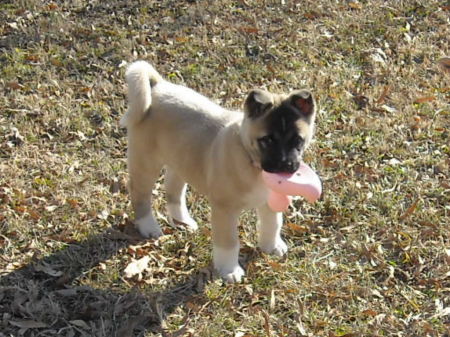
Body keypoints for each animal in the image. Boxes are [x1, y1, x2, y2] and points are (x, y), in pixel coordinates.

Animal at [121, 59, 314, 280]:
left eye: (298, 140)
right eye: (267, 140)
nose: (285, 165)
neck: (250, 160)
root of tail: (157, 86)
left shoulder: (269, 200)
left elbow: (272, 224)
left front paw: (271, 246)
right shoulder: (224, 210)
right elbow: (229, 243)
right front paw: (229, 270)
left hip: (181, 157)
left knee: (173, 189)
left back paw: (183, 220)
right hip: (146, 163)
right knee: (140, 195)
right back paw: (149, 227)